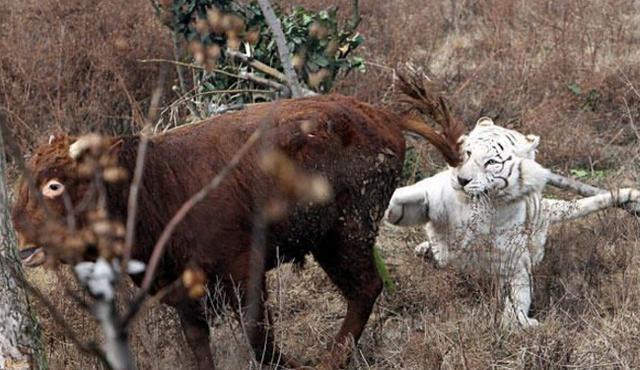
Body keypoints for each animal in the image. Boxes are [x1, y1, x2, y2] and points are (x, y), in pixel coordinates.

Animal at [10, 94, 460, 368]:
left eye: (54, 185)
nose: (23, 243)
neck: (150, 184)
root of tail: (382, 116)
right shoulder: (183, 293)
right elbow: (199, 345)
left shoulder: (244, 273)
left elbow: (258, 337)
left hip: (344, 236)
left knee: (365, 288)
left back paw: (330, 360)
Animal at [384, 118, 640, 326]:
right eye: (467, 153)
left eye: (490, 162)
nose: (462, 179)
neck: (480, 204)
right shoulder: (434, 195)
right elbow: (407, 197)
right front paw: (388, 206)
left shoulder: (514, 261)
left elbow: (518, 296)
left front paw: (517, 322)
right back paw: (425, 249)